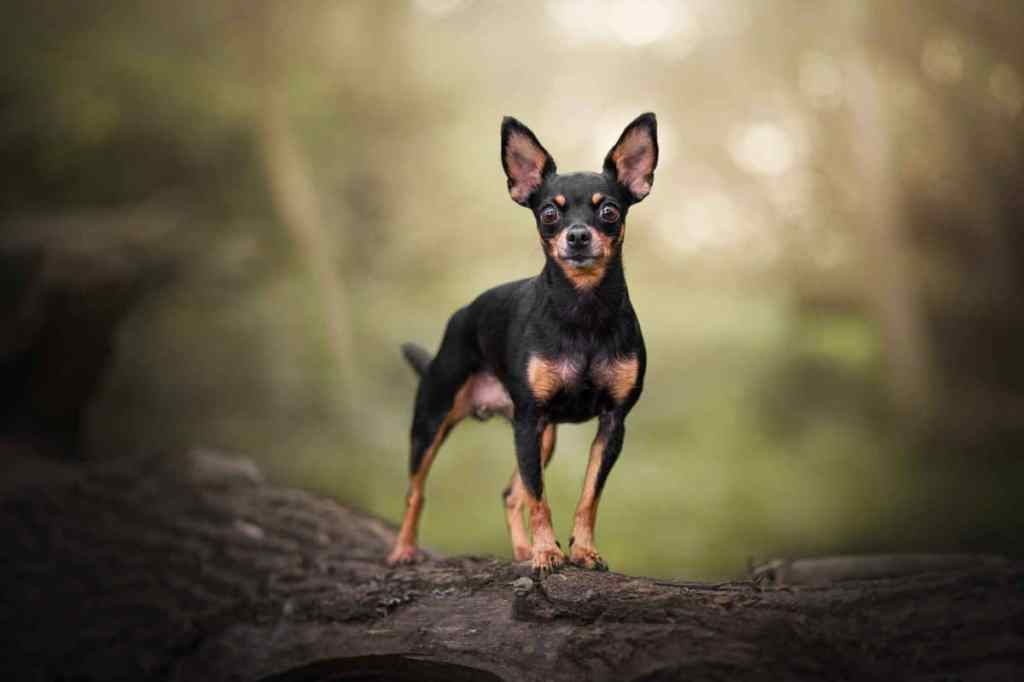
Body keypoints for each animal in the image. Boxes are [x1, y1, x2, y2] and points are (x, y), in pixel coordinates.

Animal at [387, 112, 659, 573]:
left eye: (609, 210)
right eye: (549, 213)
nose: (578, 236)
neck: (582, 311)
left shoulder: (611, 423)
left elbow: (588, 496)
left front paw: (581, 550)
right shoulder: (531, 419)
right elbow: (540, 499)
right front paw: (548, 552)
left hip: (542, 435)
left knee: (511, 492)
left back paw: (520, 550)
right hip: (433, 421)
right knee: (416, 491)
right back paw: (404, 550)